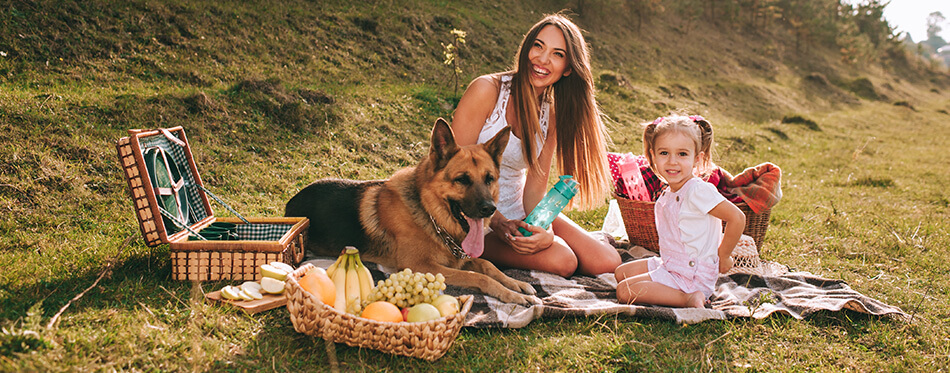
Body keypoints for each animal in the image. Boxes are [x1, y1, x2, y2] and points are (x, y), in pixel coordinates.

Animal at [282, 119, 540, 306]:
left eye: (489, 179)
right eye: (462, 180)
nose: (490, 209)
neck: (429, 213)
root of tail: (291, 201)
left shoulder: (457, 259)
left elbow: (487, 265)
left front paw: (515, 284)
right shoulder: (421, 266)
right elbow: (478, 276)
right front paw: (512, 295)